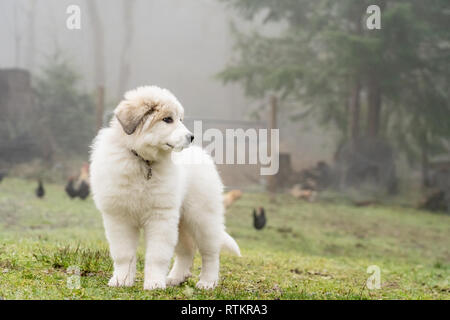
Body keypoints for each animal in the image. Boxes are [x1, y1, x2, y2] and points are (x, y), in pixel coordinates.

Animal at [89, 85, 241, 290]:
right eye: (167, 119)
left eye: (180, 119)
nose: (191, 137)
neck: (144, 161)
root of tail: (201, 154)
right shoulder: (120, 217)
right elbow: (123, 254)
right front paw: (121, 280)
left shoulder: (160, 217)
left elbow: (157, 255)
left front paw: (153, 283)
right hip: (180, 222)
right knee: (187, 250)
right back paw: (175, 278)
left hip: (202, 218)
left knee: (210, 253)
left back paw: (207, 282)